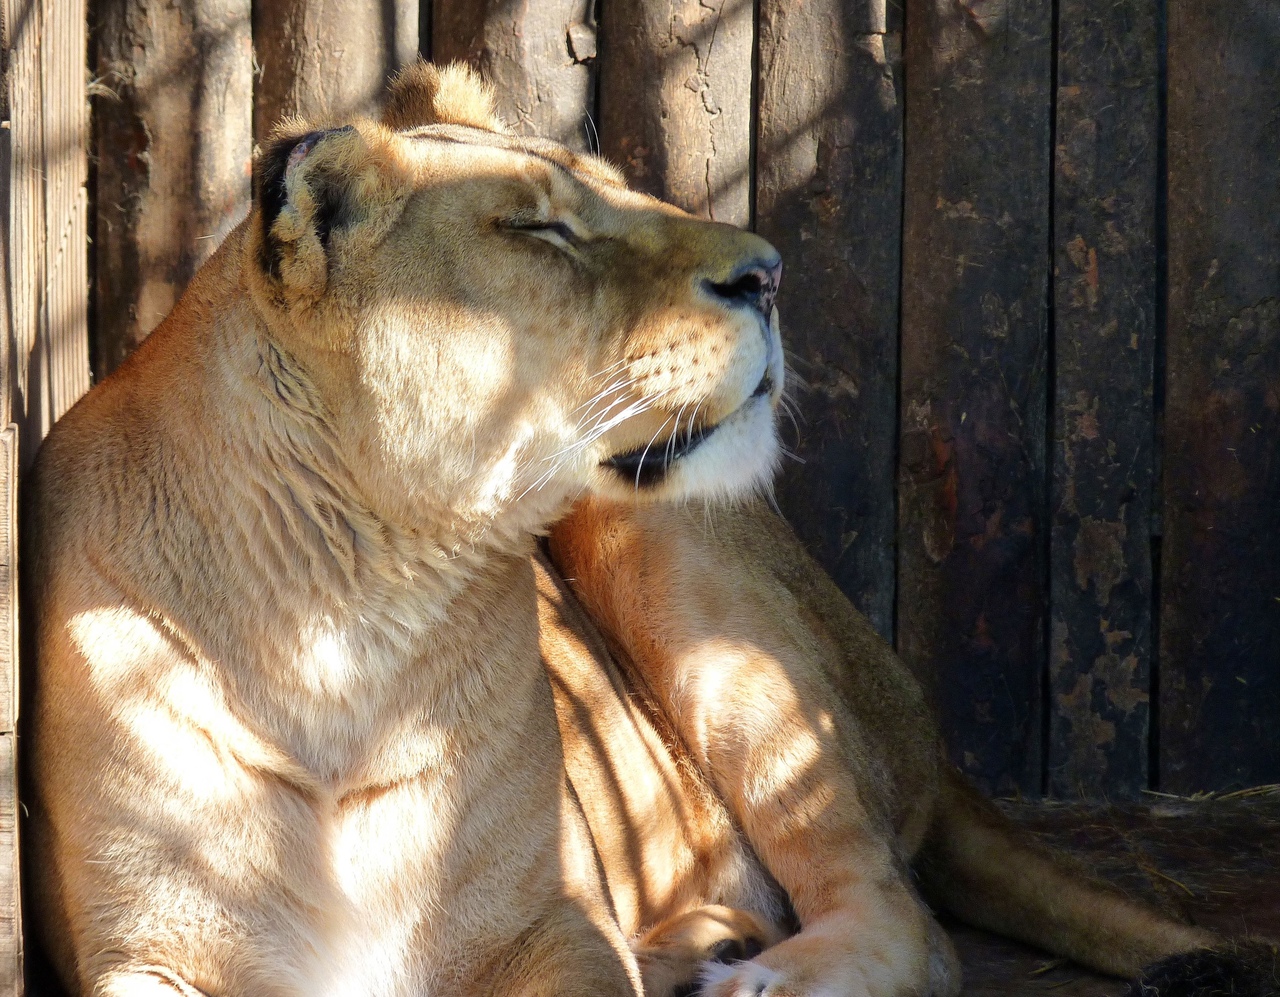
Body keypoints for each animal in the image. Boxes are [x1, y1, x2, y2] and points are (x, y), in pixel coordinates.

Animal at [24, 61, 1267, 997]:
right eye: (539, 229)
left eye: (626, 196)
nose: (767, 274)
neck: (353, 624)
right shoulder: (143, 951)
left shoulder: (553, 925)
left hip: (680, 562)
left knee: (904, 918)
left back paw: (759, 976)